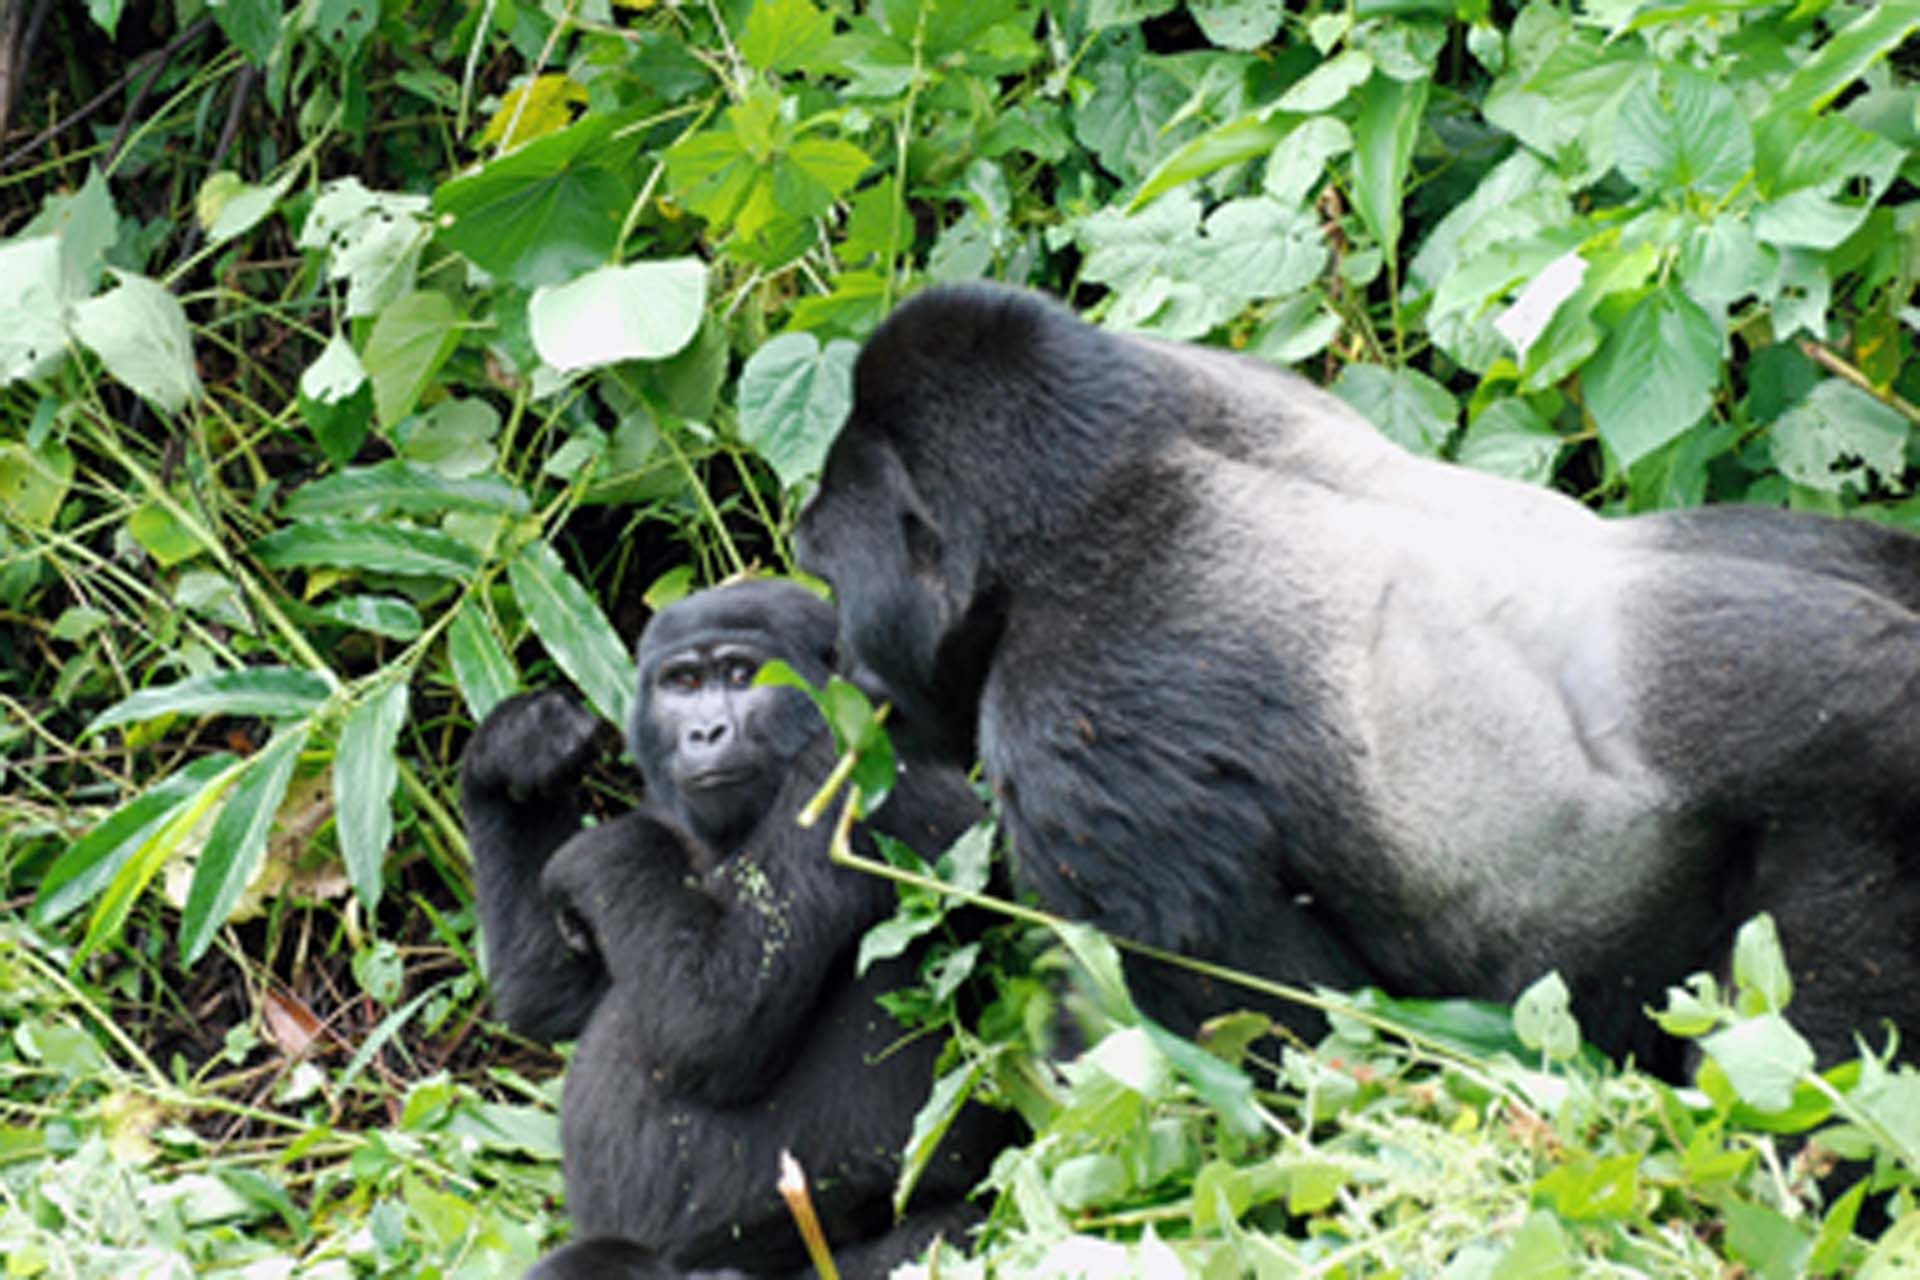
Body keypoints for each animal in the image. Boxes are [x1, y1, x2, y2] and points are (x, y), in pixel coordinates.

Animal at [462, 583, 1013, 1280]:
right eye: (685, 682)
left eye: (742, 675)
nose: (705, 732)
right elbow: (552, 996)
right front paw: (513, 750)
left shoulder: (848, 784)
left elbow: (716, 1019)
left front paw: (599, 850)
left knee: (938, 1239)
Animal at [794, 282, 1920, 1074]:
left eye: (835, 574)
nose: (846, 666)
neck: (1108, 481)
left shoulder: (1076, 734)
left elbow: (1250, 1043)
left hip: (1858, 807)